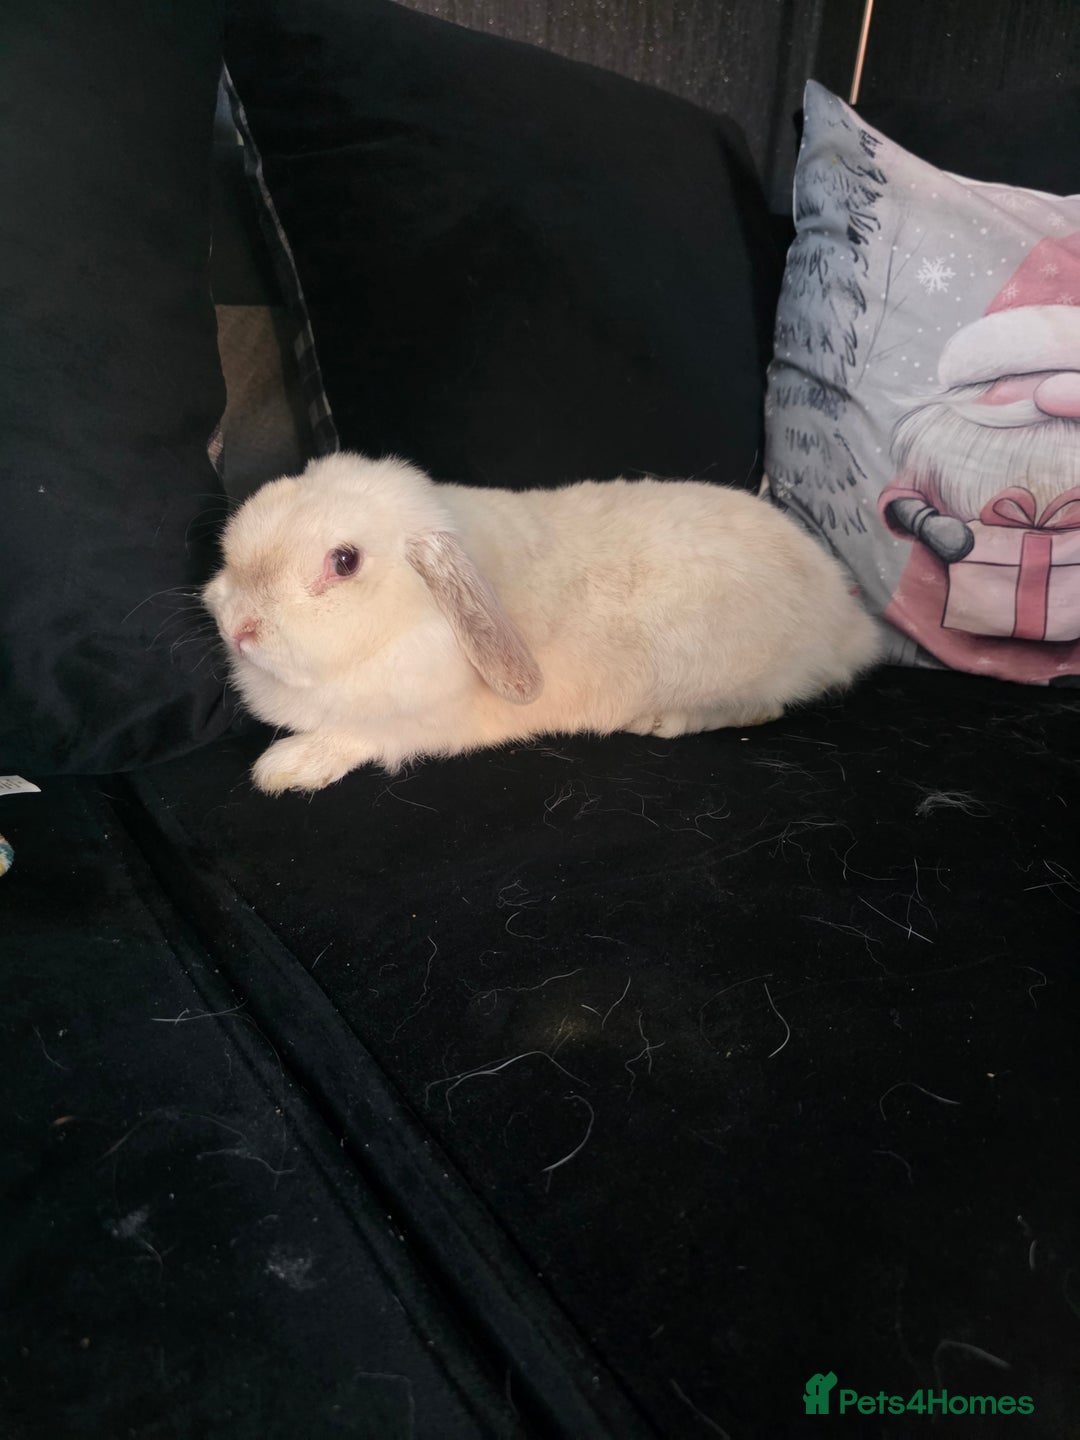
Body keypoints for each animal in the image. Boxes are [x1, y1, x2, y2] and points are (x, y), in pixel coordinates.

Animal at [202, 452, 881, 794]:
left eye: (344, 562)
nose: (238, 626)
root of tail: (847, 621)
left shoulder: (408, 724)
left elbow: (354, 737)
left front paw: (283, 767)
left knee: (763, 707)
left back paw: (662, 720)